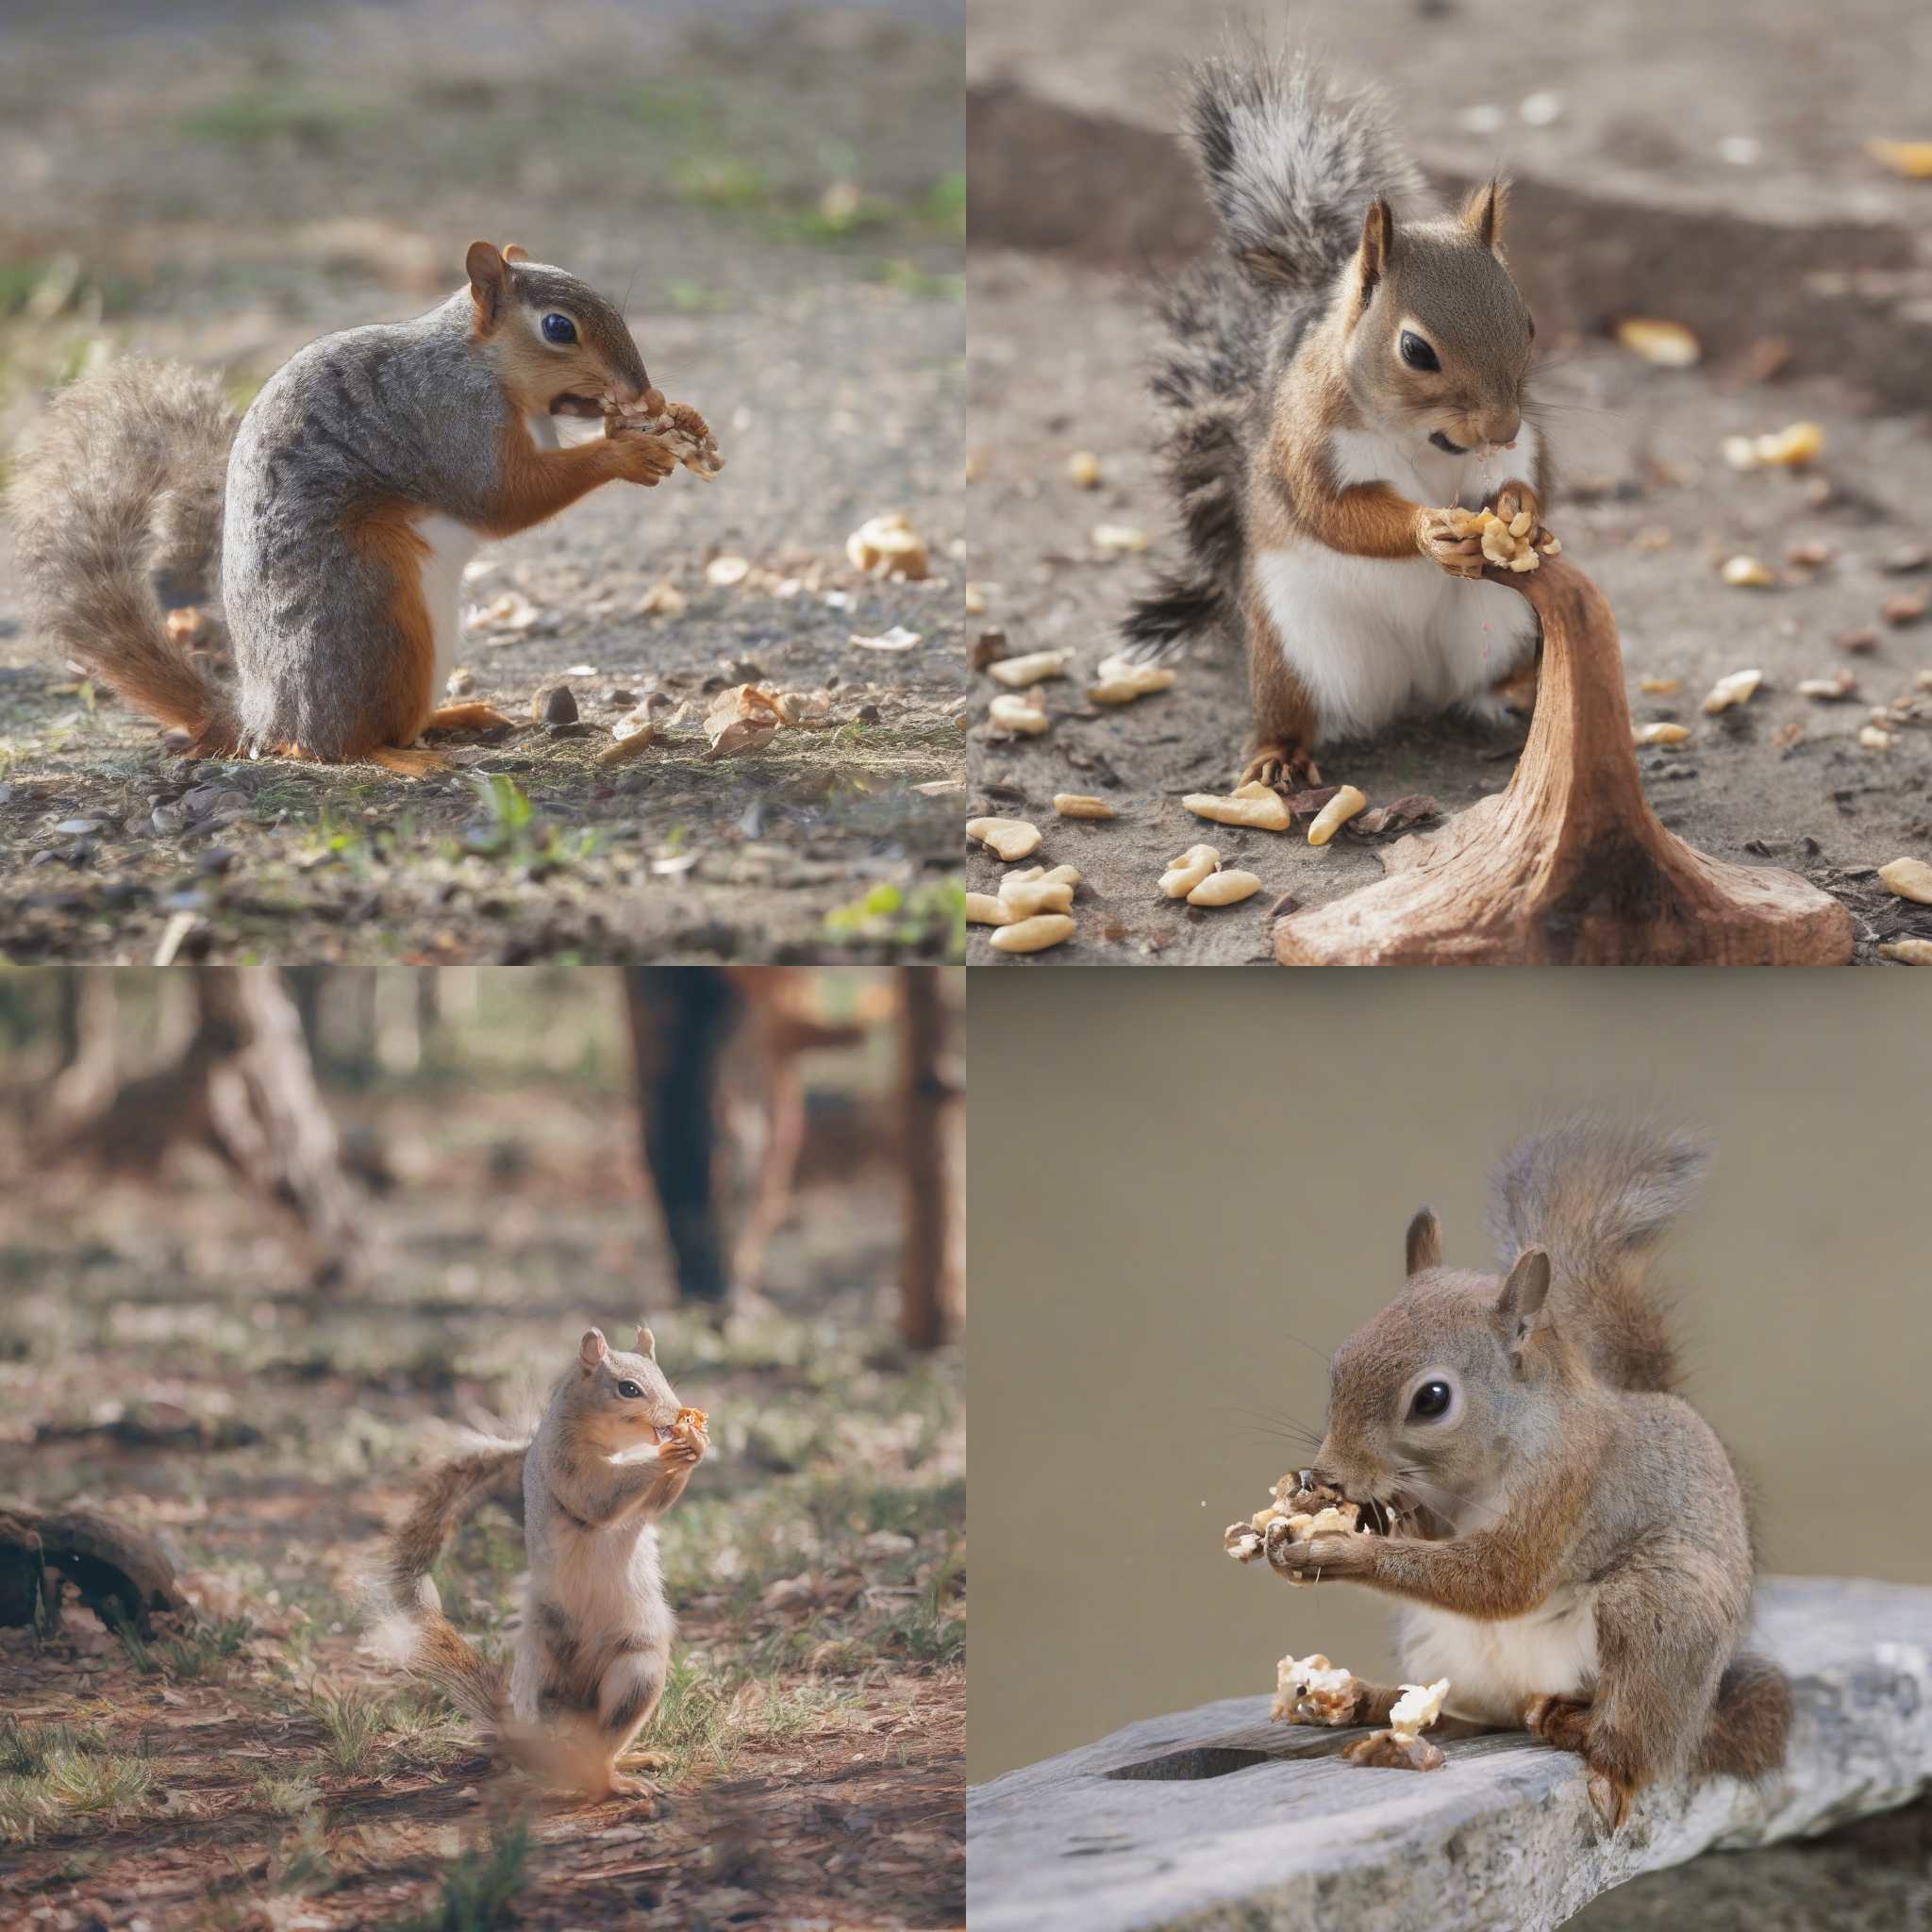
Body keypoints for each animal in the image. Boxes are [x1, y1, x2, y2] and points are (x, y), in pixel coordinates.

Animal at [8, 243, 710, 776]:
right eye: (560, 327)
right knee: (335, 745)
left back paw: (455, 716)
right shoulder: (449, 420)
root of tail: (259, 719)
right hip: (373, 615)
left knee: (393, 723)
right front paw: (628, 449)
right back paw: (402, 758)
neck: (478, 362)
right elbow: (504, 497)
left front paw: (666, 420)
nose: (641, 389)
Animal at [373, 1321, 707, 1800]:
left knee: (604, 1741)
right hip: (557, 1676)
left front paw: (694, 1444)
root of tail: (529, 1745)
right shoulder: (563, 1463)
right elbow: (599, 1497)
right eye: (628, 1389)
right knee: (587, 1766)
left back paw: (632, 1760)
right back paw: (617, 1782)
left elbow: (656, 1506)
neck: (618, 1446)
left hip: (639, 1665)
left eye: (662, 1377)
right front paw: (671, 1453)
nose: (675, 1414)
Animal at [1120, 56, 1553, 788]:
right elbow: (1333, 512)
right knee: (1293, 708)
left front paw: (1519, 507)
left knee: (1484, 682)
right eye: (1416, 350)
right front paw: (1427, 528)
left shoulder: (1524, 443)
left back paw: (1518, 692)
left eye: (1527, 323)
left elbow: (1528, 480)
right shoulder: (1311, 443)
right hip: (1297, 643)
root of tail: (1416, 685)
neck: (1425, 442)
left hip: (1512, 620)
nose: (1500, 430)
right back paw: (1277, 756)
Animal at [1274, 1120, 1785, 1824]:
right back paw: (1369, 1703)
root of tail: (1531, 1694)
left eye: (1431, 1400)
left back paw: (1607, 1764)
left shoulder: (1569, 1487)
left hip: (1659, 1609)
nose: (1330, 1476)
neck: (1485, 1464)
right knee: (1471, 1716)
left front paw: (1336, 1549)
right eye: (1340, 1365)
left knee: (1639, 1736)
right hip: (1436, 1645)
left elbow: (1502, 1576)